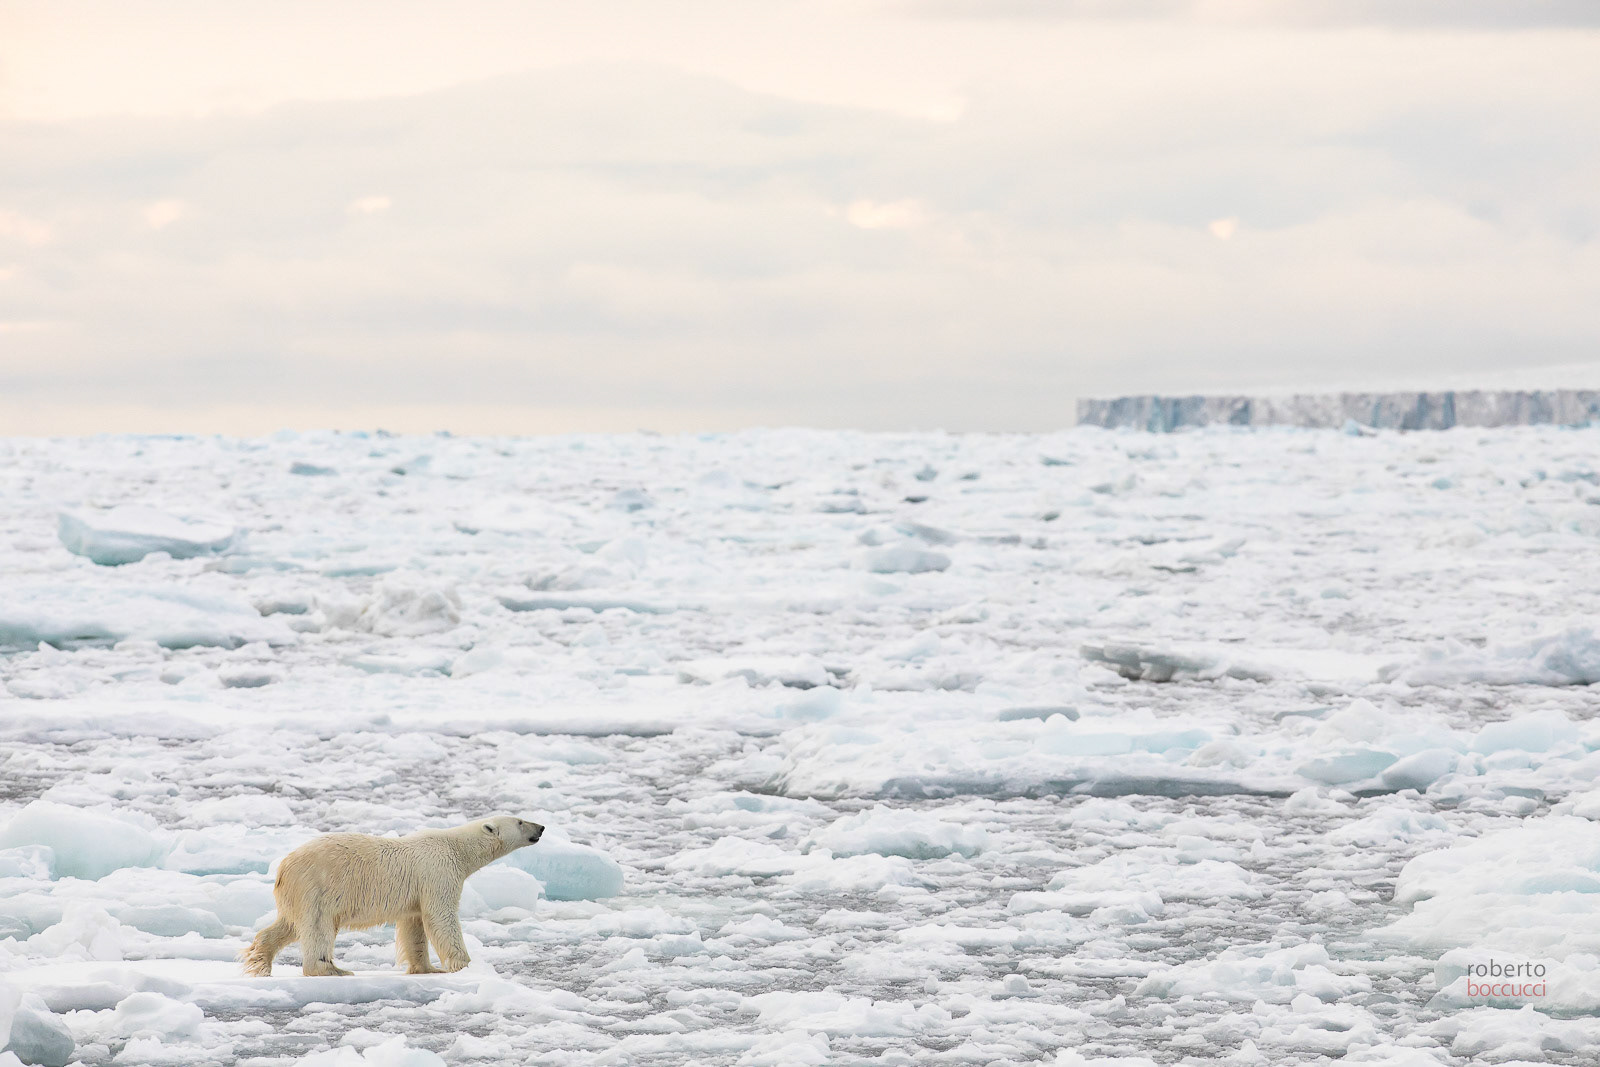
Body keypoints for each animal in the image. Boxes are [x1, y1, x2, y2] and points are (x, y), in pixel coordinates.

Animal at [241, 815, 544, 977]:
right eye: (520, 821)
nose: (540, 827)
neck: (455, 847)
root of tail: (284, 867)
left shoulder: (417, 892)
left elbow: (415, 926)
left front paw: (427, 968)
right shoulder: (438, 873)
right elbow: (442, 917)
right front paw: (465, 965)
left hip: (298, 894)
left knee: (288, 925)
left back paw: (260, 960)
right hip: (318, 886)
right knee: (318, 927)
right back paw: (333, 969)